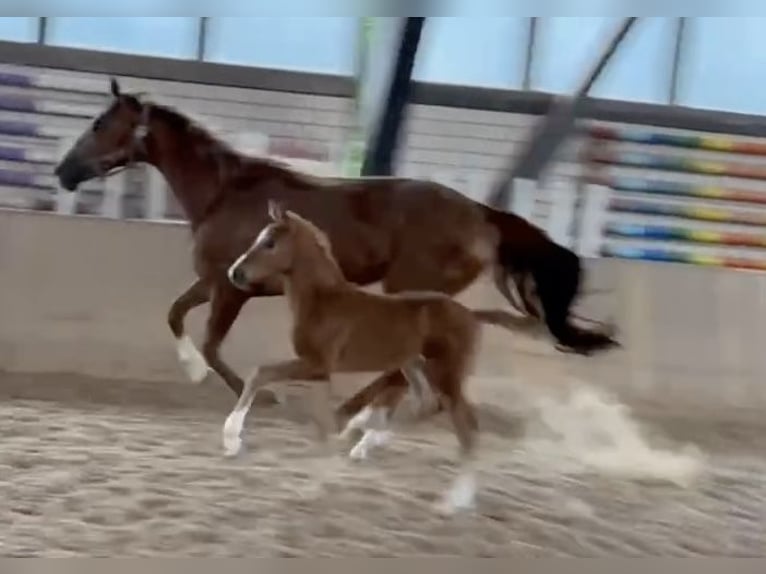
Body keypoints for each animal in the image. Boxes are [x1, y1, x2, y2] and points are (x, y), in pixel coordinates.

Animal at [52, 80, 616, 404]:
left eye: (100, 123)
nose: (62, 172)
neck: (224, 191)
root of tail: (482, 215)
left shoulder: (233, 289)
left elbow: (212, 342)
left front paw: (263, 397)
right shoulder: (217, 279)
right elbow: (174, 314)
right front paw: (192, 372)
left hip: (409, 290)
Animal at [225, 204, 486, 516]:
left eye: (270, 243)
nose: (235, 273)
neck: (323, 301)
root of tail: (473, 317)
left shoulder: (317, 364)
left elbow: (260, 373)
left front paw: (231, 440)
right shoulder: (320, 372)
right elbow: (320, 422)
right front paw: (318, 479)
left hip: (446, 375)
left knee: (467, 429)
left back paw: (453, 501)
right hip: (413, 367)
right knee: (425, 406)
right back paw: (367, 437)